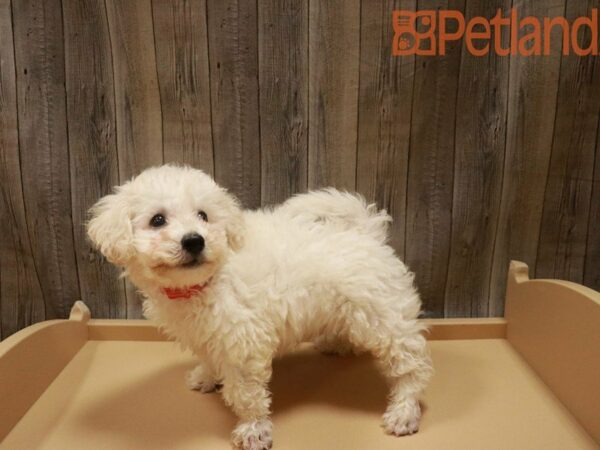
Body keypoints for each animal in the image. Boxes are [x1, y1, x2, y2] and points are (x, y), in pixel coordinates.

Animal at [86, 165, 432, 450]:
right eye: (157, 220)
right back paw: (335, 342)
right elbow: (209, 356)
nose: (194, 240)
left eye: (203, 216)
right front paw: (206, 377)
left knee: (411, 366)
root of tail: (366, 231)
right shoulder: (207, 333)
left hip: (383, 315)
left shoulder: (242, 343)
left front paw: (253, 430)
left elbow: (246, 393)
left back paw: (404, 411)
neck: (205, 282)